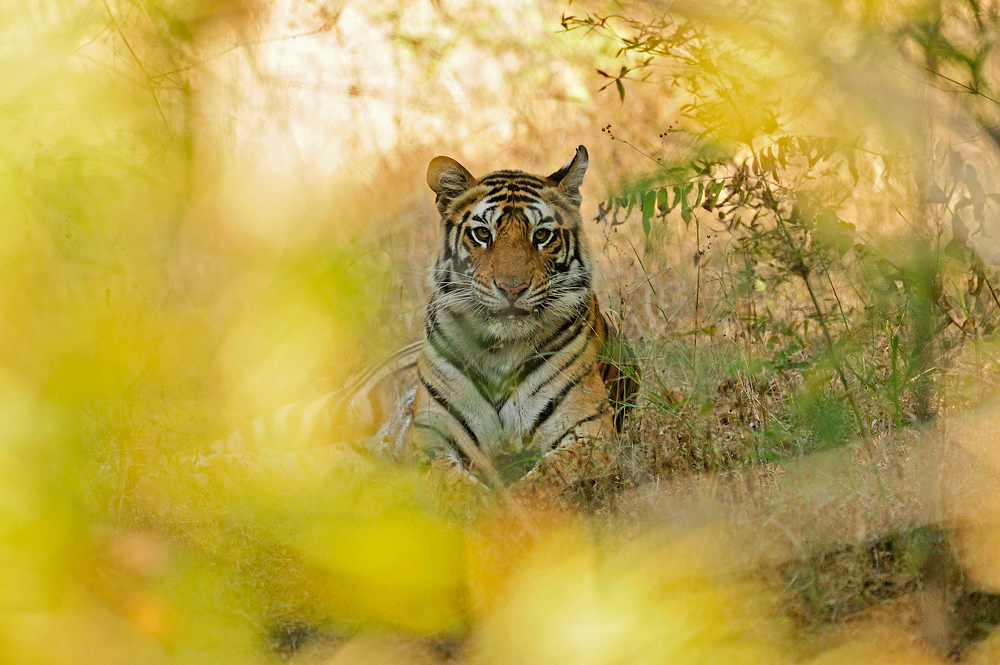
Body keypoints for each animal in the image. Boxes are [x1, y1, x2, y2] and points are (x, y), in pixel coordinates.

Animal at [206, 148, 636, 506]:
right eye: (483, 234)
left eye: (542, 235)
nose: (512, 288)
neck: (501, 350)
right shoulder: (433, 439)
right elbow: (456, 486)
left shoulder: (589, 435)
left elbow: (542, 482)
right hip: (336, 410)